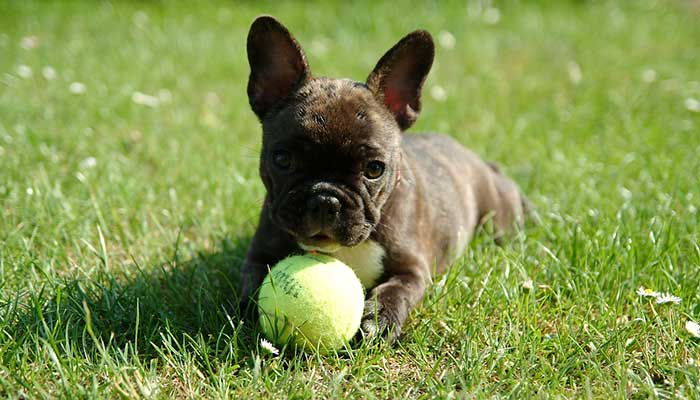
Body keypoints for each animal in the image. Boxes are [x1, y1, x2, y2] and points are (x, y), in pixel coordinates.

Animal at [239, 16, 524, 344]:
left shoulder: (412, 269)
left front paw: (381, 318)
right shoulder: (258, 255)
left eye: (374, 169)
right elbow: (253, 285)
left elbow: (397, 290)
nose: (325, 200)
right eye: (282, 159)